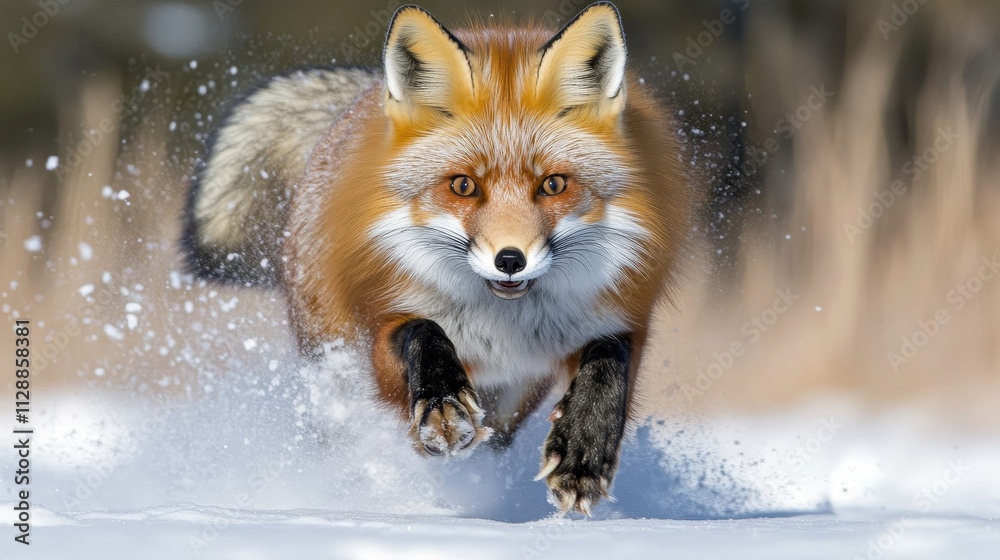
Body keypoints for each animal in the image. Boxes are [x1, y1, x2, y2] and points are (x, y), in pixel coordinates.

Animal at [183, 2, 694, 515]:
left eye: (553, 184)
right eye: (463, 185)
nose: (511, 260)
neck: (501, 323)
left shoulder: (613, 319)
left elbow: (609, 366)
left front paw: (582, 454)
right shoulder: (385, 326)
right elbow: (424, 333)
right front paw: (442, 407)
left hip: (513, 396)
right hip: (336, 368)